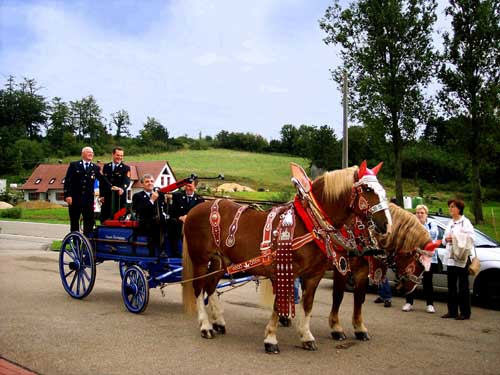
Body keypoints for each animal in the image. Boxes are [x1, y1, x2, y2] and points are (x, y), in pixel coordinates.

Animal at [183, 163, 390, 354]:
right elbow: (279, 304)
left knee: (210, 286)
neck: (309, 223)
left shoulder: (314, 275)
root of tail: (198, 207)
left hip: (221, 261)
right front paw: (270, 339)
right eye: (368, 189)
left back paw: (218, 321)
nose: (386, 226)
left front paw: (306, 336)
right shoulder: (286, 272)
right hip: (200, 260)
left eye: (382, 189)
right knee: (199, 288)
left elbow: (308, 304)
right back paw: (206, 326)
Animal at [330, 204, 440, 342]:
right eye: (419, 263)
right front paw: (336, 328)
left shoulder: (362, 271)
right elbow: (338, 296)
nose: (410, 288)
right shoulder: (341, 267)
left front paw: (359, 328)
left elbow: (359, 298)